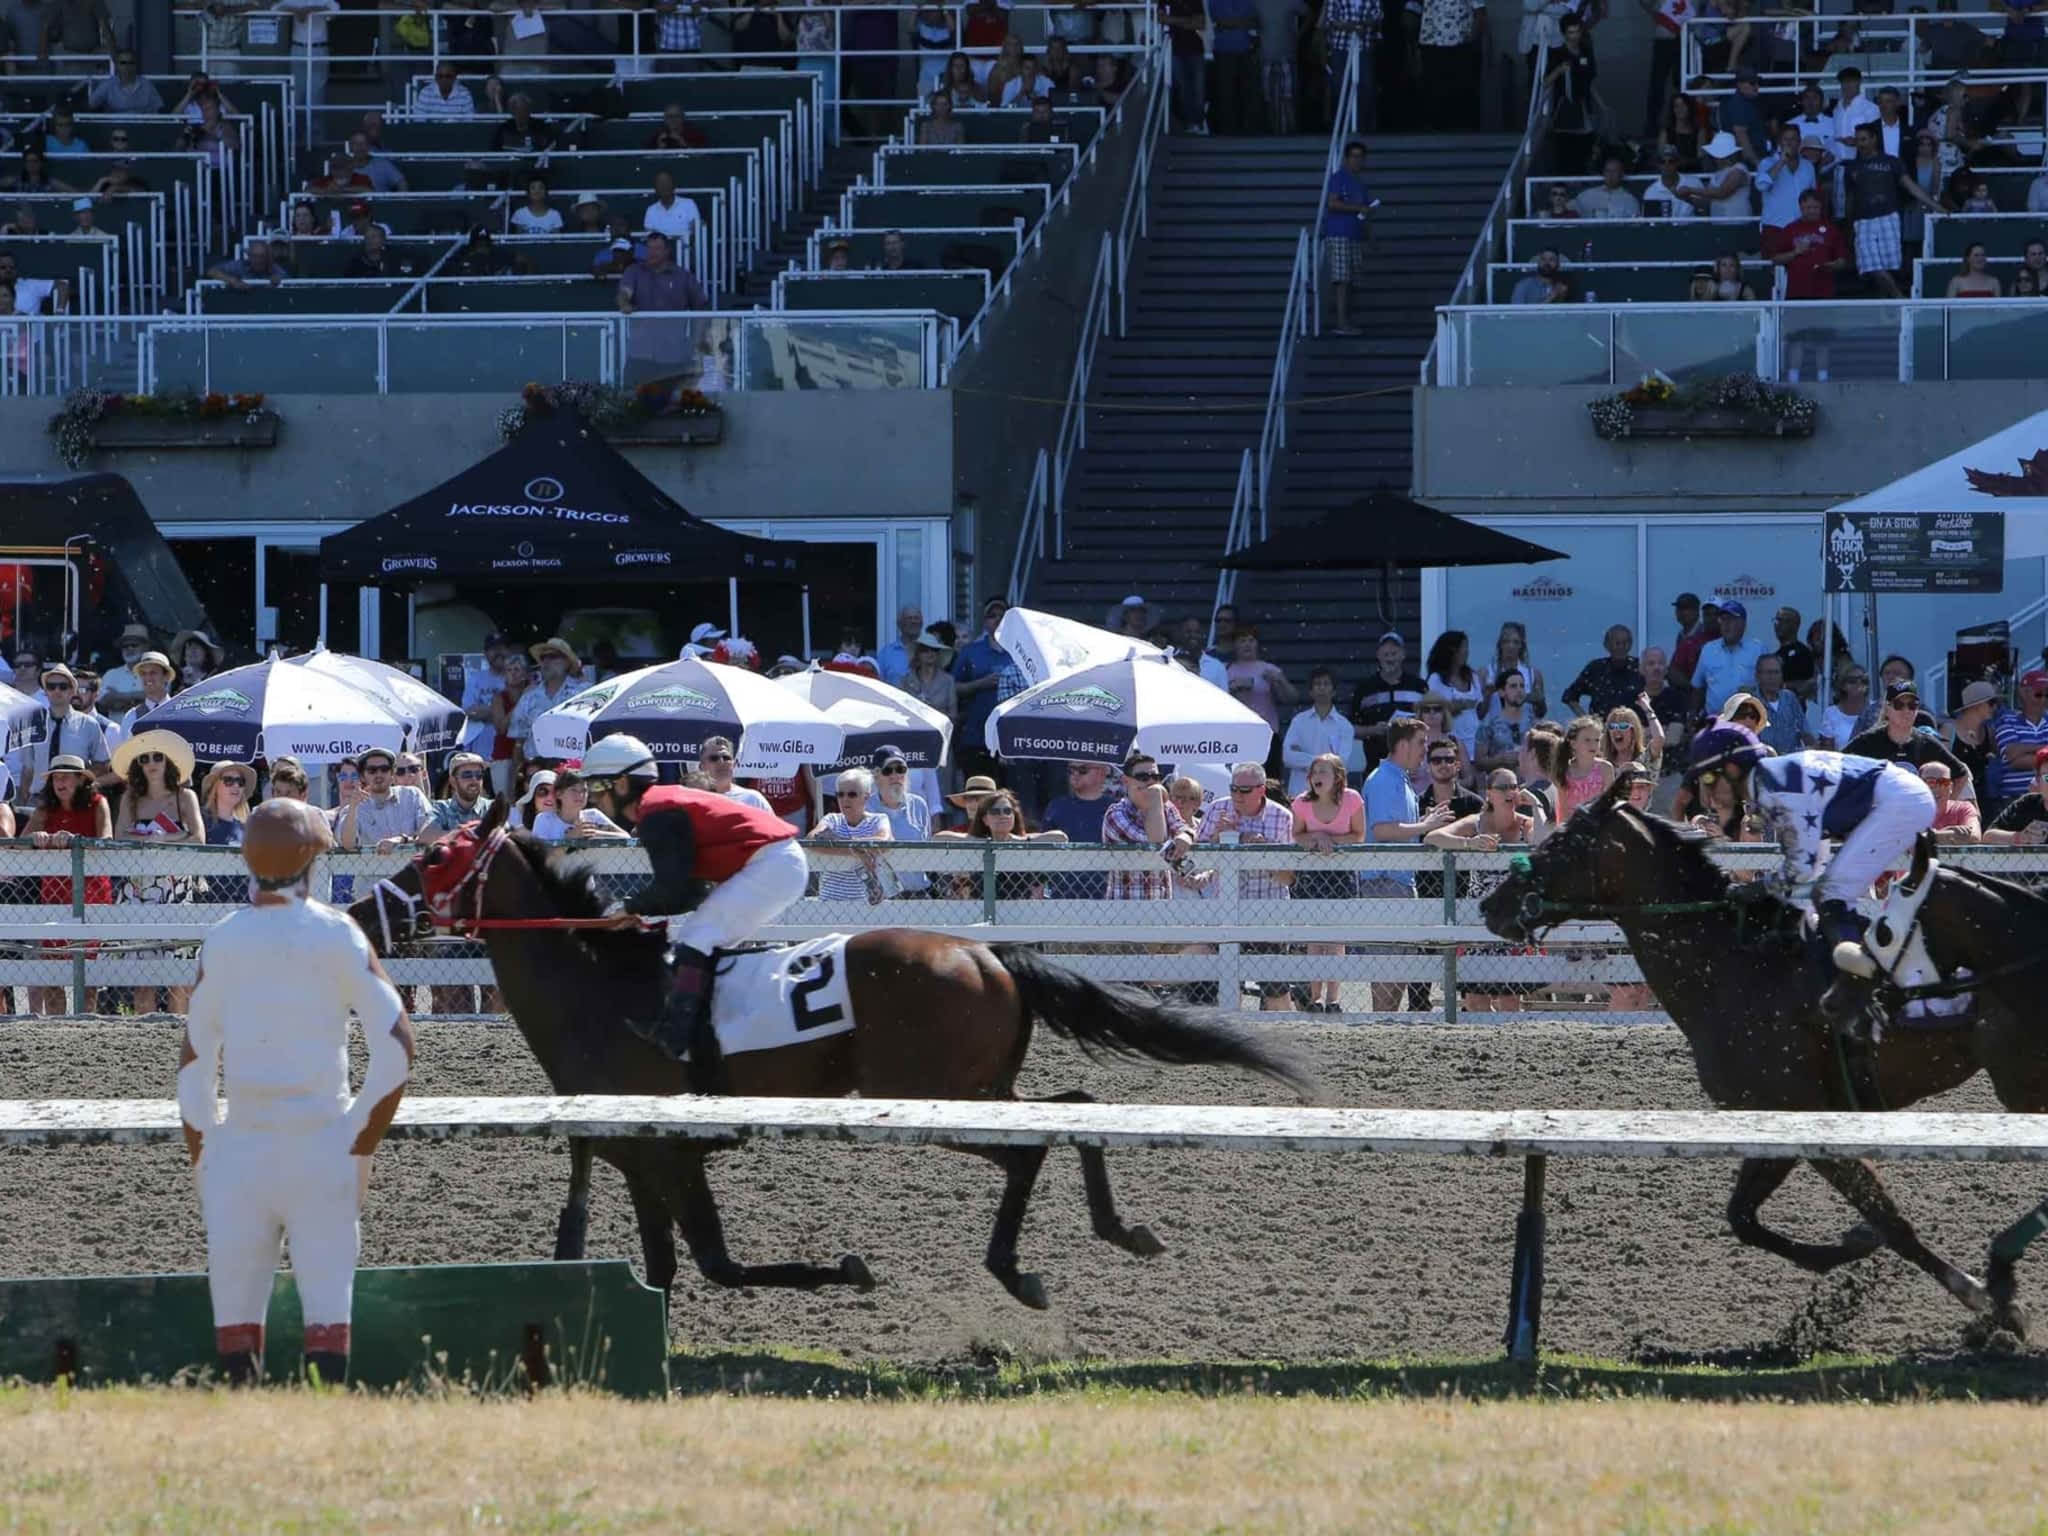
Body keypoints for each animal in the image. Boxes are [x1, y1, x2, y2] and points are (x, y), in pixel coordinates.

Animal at [348, 806, 1310, 1310]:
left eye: (438, 856)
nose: (358, 913)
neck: (603, 988)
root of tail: (989, 952)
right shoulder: (636, 1153)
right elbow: (663, 1270)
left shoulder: (671, 1153)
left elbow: (714, 1263)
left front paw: (845, 1267)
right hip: (975, 1086)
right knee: (1071, 1110)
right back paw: (1110, 1231)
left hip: (931, 1096)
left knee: (1035, 1139)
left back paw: (1022, 1266)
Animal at [1482, 786, 2023, 1343]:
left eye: (1562, 842)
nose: (1490, 904)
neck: (1733, 964)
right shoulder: (1767, 1116)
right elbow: (1743, 1217)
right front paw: (1849, 1250)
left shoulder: (1805, 1113)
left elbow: (1887, 1218)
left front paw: (1990, 1302)